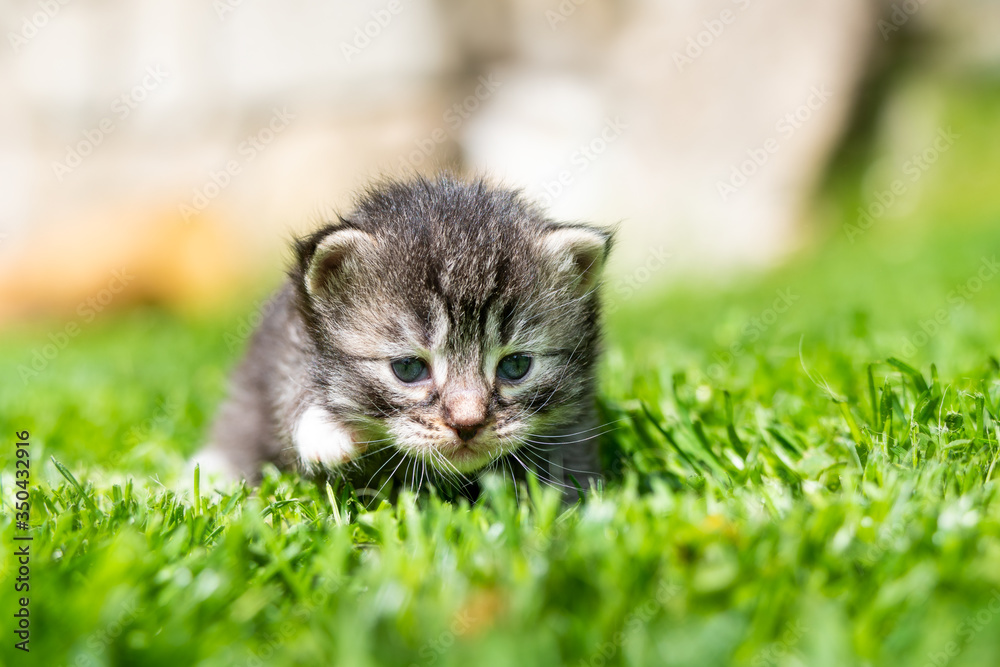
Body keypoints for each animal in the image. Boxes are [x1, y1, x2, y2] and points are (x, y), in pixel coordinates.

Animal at [190, 175, 604, 498]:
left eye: (516, 366)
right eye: (408, 369)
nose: (467, 424)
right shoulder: (285, 340)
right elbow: (290, 386)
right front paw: (324, 429)